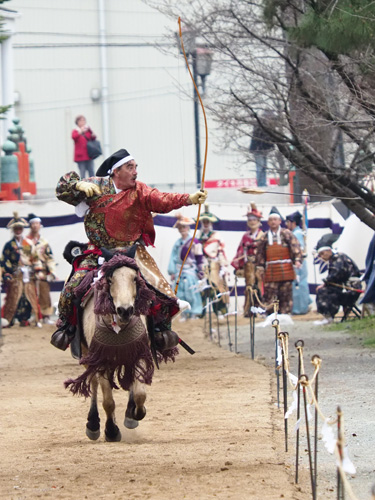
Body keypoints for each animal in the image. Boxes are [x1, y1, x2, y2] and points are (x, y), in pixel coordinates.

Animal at [64, 252, 159, 444]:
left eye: (135, 279)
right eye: (110, 279)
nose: (125, 310)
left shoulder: (138, 353)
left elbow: (140, 393)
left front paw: (136, 413)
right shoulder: (100, 360)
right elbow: (108, 401)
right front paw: (111, 431)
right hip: (87, 356)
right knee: (93, 383)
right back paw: (93, 424)